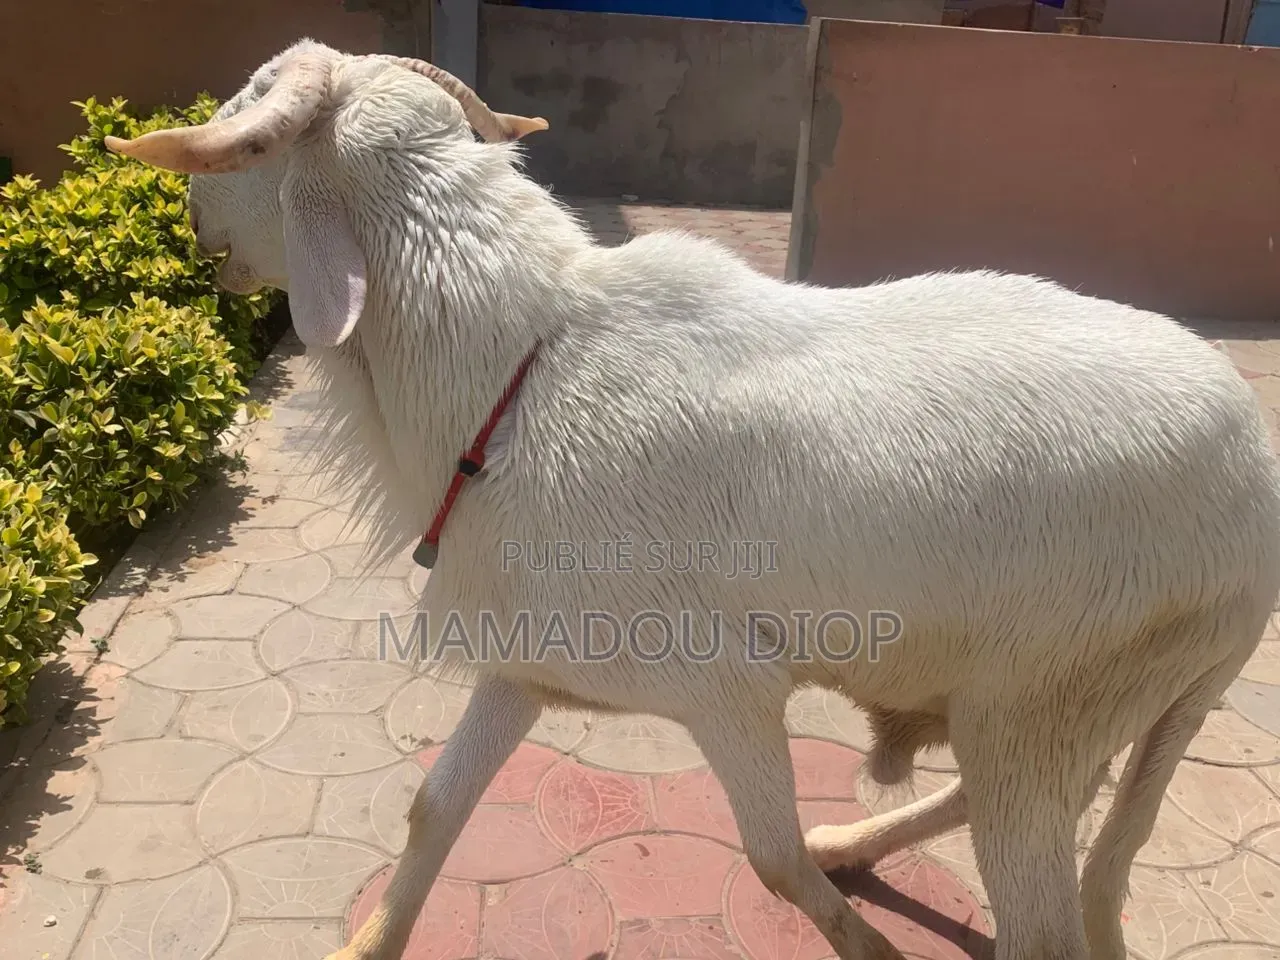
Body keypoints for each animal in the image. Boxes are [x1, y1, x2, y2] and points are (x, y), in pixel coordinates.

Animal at [104, 39, 1280, 960]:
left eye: (253, 122)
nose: (190, 220)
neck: (514, 369)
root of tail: (1258, 484)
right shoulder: (529, 661)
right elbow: (434, 808)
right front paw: (370, 943)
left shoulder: (725, 688)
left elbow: (769, 864)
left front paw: (867, 947)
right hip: (1070, 701)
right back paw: (854, 842)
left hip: (1052, 695)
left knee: (1040, 915)